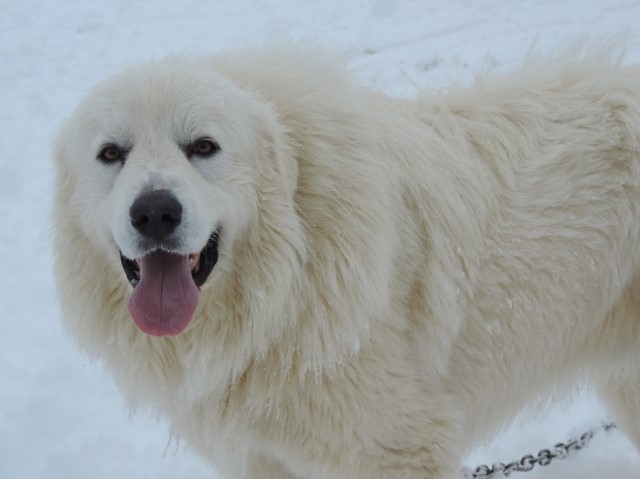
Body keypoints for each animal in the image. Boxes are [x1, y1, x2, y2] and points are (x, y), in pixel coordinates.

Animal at [52, 46, 640, 479]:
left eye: (203, 146)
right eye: (111, 154)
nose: (154, 212)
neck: (289, 281)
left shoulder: (396, 449)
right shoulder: (263, 460)